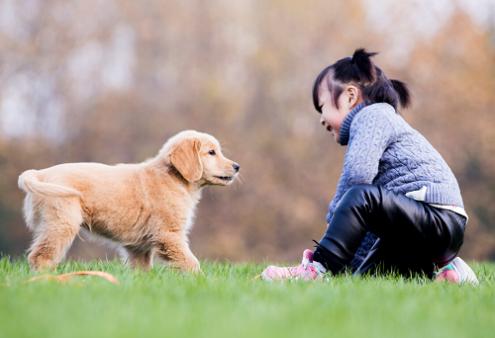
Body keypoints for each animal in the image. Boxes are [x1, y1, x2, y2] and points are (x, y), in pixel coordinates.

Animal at [19, 129, 242, 272]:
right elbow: (191, 263)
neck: (173, 177)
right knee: (40, 257)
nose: (237, 166)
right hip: (61, 223)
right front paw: (202, 281)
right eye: (211, 152)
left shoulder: (139, 247)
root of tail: (40, 174)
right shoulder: (169, 235)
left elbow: (142, 270)